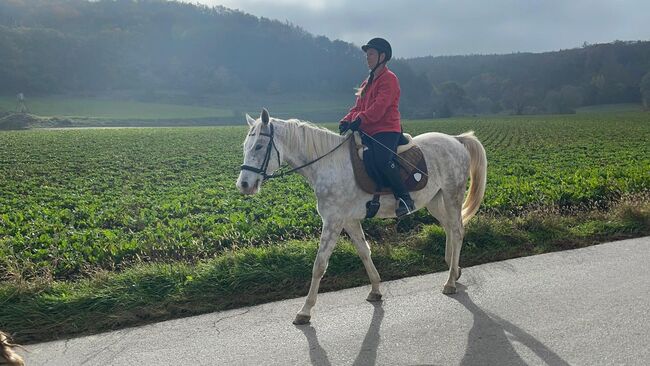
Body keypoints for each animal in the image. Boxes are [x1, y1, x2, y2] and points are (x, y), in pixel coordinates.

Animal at [235, 109, 484, 326]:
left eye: (259, 146)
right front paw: (375, 289)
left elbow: (319, 264)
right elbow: (364, 251)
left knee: (457, 230)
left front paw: (305, 311)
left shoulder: (333, 221)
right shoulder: (349, 220)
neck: (328, 165)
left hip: (452, 194)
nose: (243, 185)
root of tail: (456, 140)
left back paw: (450, 282)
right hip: (434, 200)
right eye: (245, 146)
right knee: (450, 227)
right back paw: (454, 269)